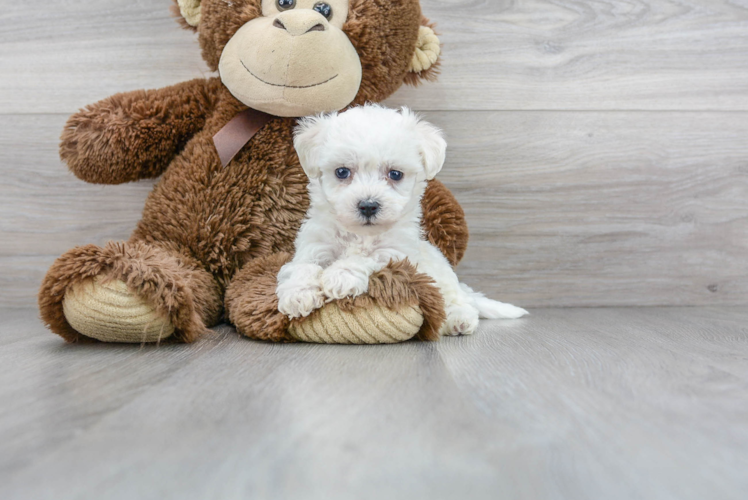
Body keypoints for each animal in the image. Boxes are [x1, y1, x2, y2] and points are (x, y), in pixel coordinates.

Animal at [274, 105, 524, 336]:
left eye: (395, 174)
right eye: (342, 172)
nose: (368, 205)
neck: (360, 234)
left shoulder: (397, 255)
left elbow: (367, 257)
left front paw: (341, 275)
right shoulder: (313, 246)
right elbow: (302, 266)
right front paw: (298, 293)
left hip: (443, 278)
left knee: (459, 301)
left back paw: (458, 320)